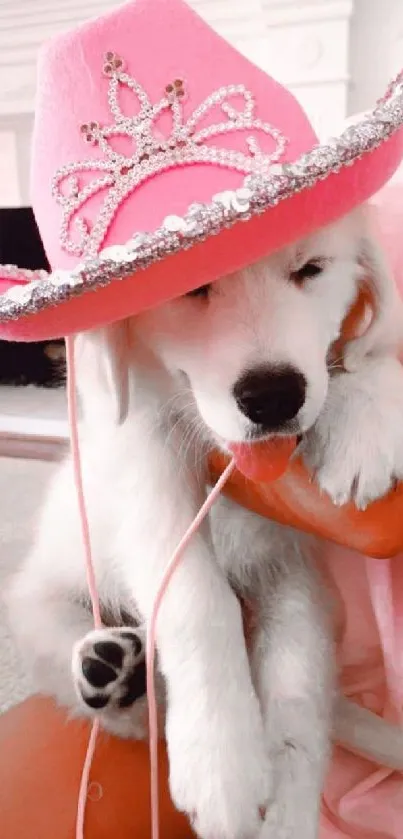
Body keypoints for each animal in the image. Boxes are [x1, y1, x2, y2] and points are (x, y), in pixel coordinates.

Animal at [4, 205, 403, 839]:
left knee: (300, 705)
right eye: (192, 289)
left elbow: (296, 700)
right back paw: (109, 671)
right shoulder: (145, 466)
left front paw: (366, 411)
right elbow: (196, 598)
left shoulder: (291, 570)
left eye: (311, 269)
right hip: (43, 597)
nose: (273, 397)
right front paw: (222, 762)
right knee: (115, 697)